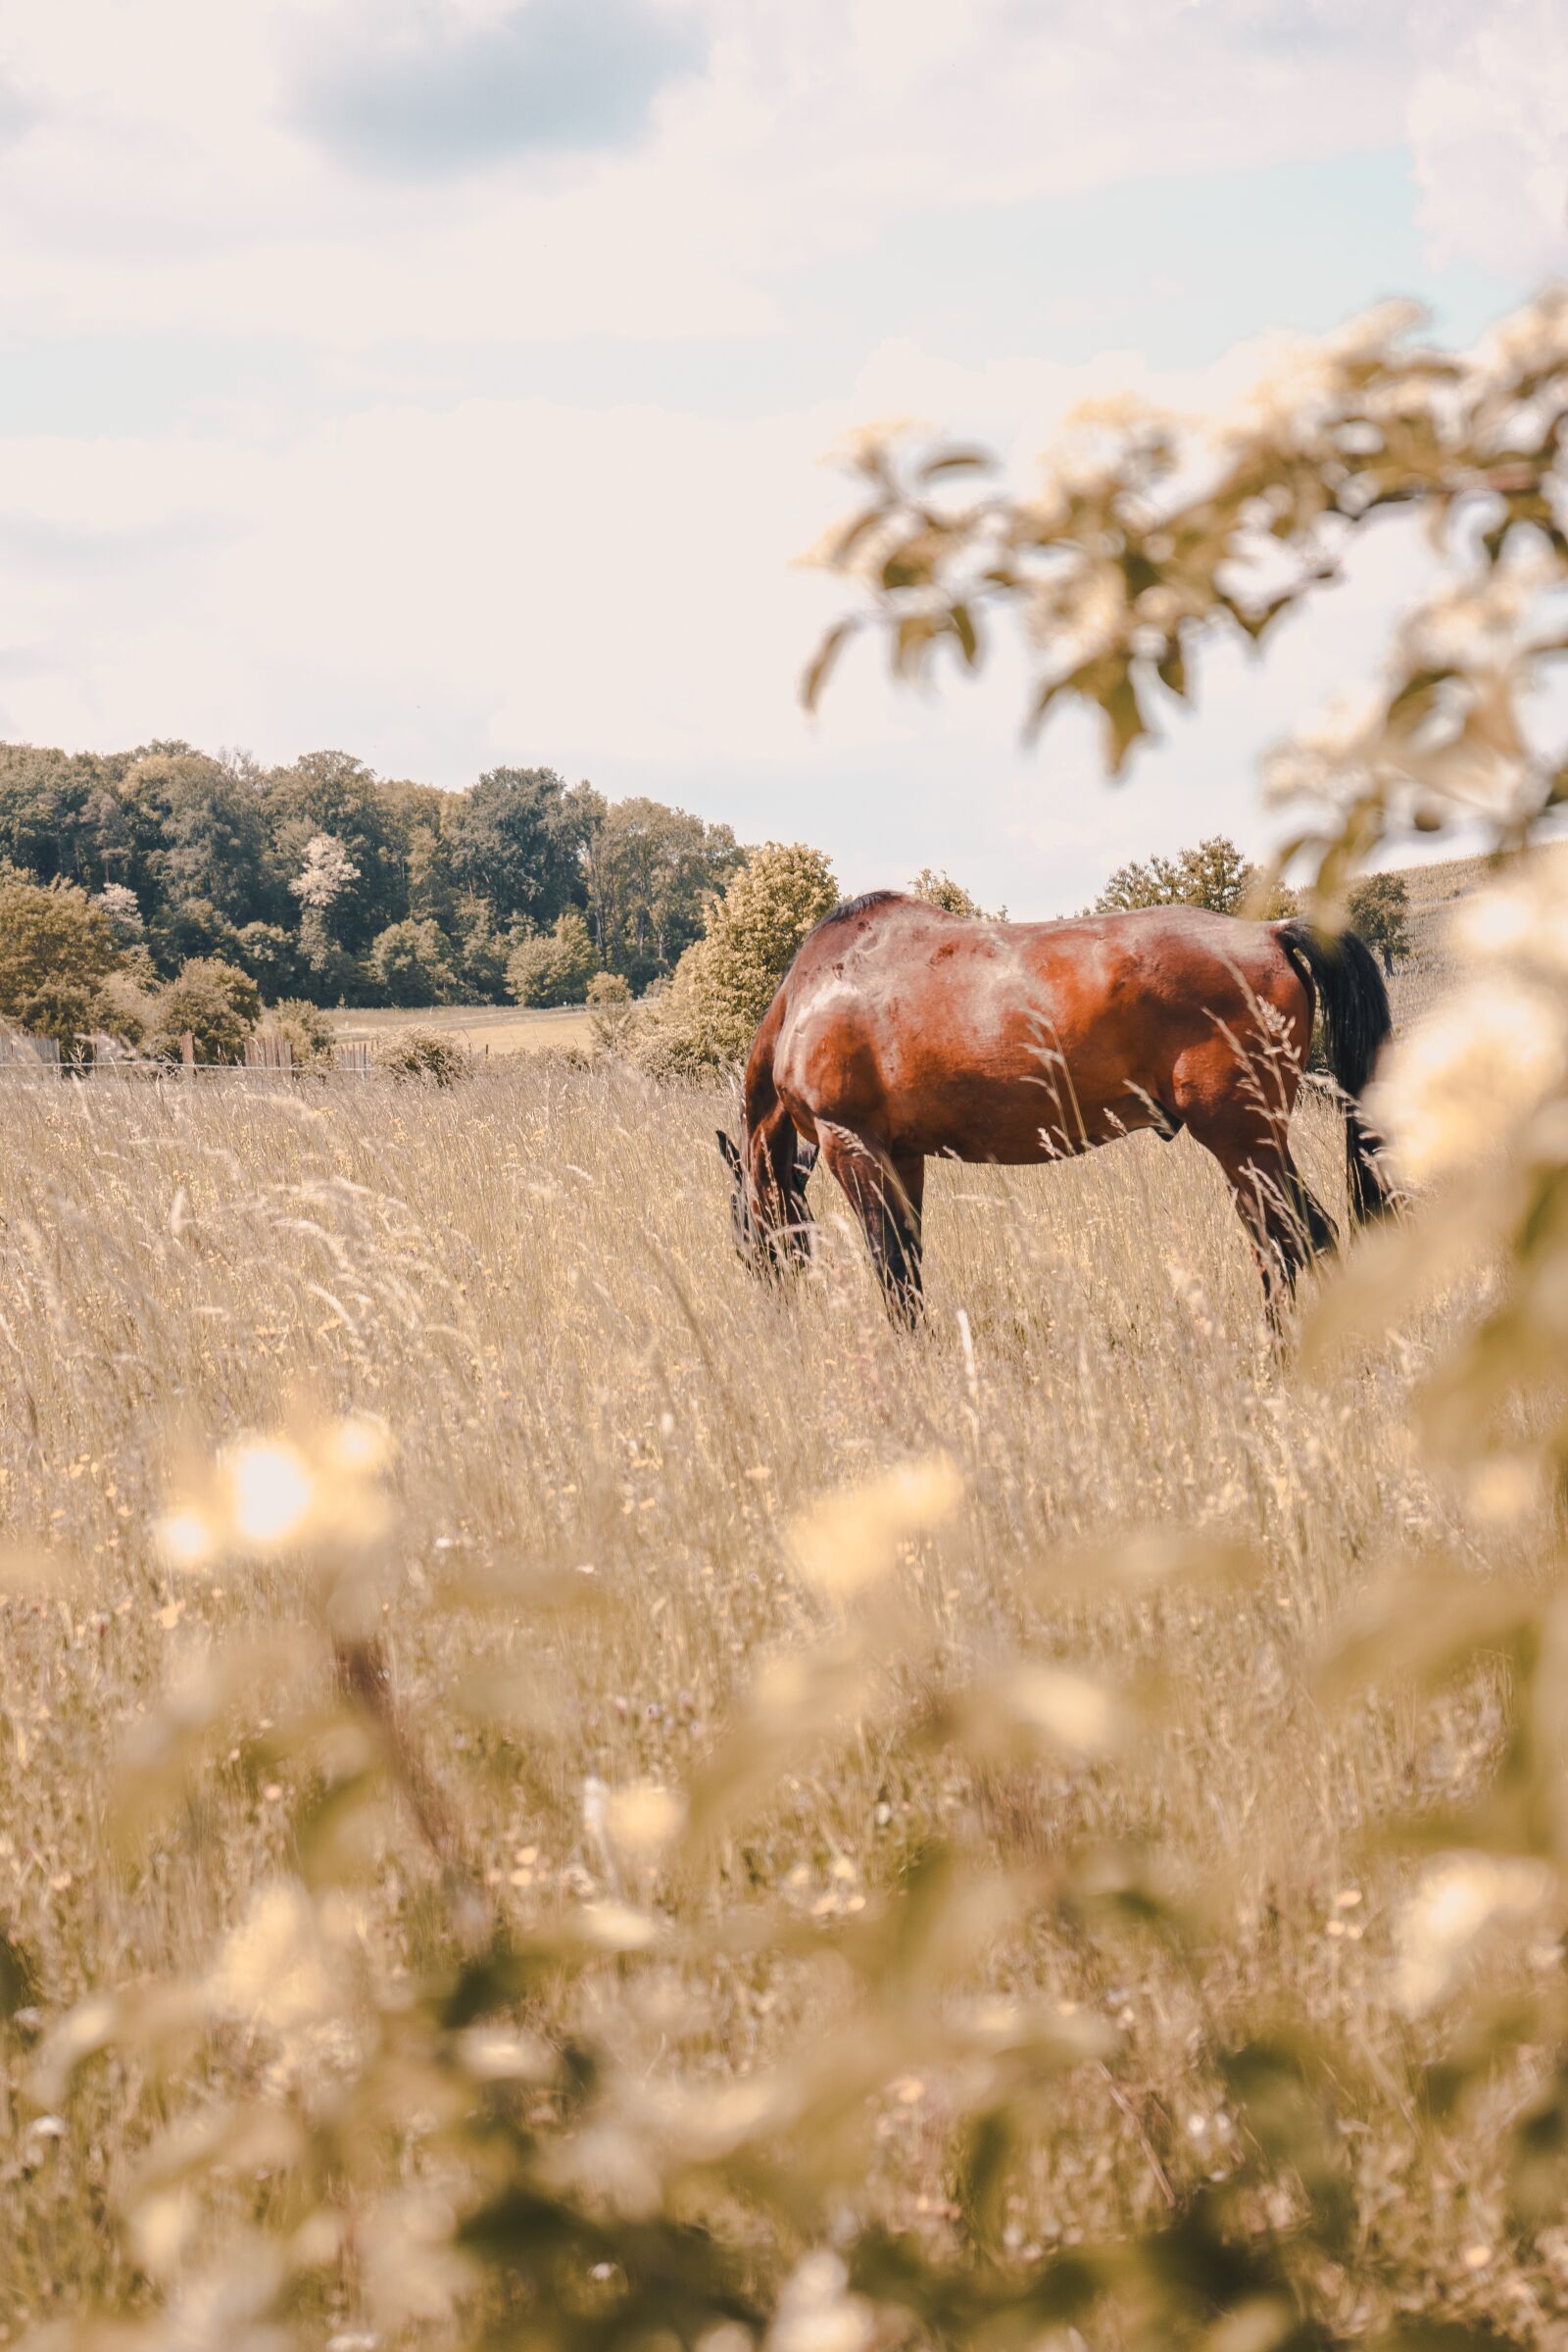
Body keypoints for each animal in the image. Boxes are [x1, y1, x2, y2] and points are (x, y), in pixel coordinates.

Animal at [719, 889, 1392, 1326]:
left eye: (739, 1228)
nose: (773, 1308)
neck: (810, 997)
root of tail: (1270, 931)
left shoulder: (852, 1146)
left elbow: (892, 1275)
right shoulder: (903, 1158)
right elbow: (909, 1265)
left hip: (1243, 1143)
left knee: (1293, 1244)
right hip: (1257, 1147)